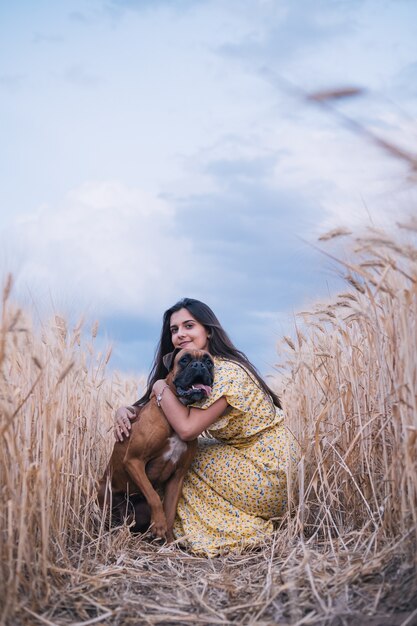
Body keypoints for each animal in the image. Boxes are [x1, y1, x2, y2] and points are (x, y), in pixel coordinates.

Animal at [97, 348, 213, 540]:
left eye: (209, 362)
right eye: (185, 360)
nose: (199, 365)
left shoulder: (177, 476)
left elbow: (170, 512)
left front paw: (169, 541)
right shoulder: (134, 461)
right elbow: (154, 497)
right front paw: (159, 525)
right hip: (106, 495)